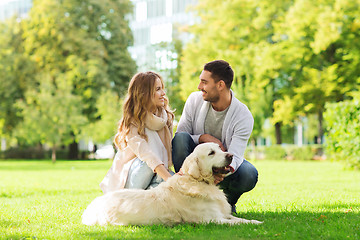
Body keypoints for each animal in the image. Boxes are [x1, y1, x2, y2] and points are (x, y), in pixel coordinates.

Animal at [81, 143, 262, 226]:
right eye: (211, 153)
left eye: (220, 148)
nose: (230, 155)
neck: (196, 181)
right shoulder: (211, 219)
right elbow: (236, 222)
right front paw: (256, 223)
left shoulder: (221, 214)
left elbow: (239, 218)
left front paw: (255, 221)